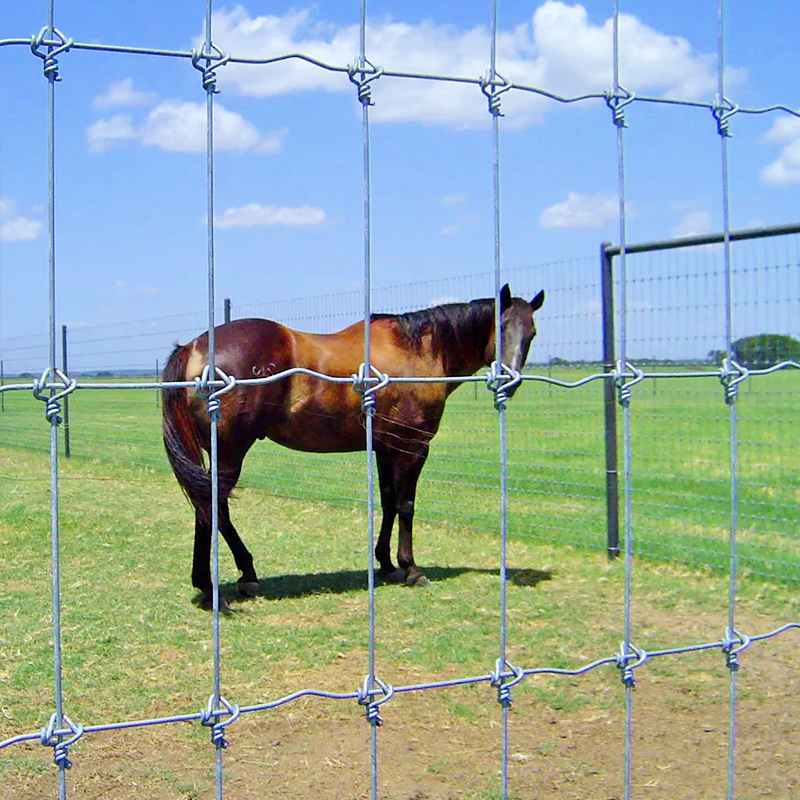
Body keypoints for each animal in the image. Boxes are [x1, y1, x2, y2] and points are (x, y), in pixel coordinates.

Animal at [162, 284, 544, 604]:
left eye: (532, 333)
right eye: (500, 328)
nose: (510, 381)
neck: (417, 351)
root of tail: (195, 347)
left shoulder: (386, 448)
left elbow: (388, 503)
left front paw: (386, 563)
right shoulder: (414, 447)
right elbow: (406, 505)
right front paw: (411, 568)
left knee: (211, 508)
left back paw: (229, 577)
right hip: (230, 453)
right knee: (213, 507)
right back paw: (223, 580)